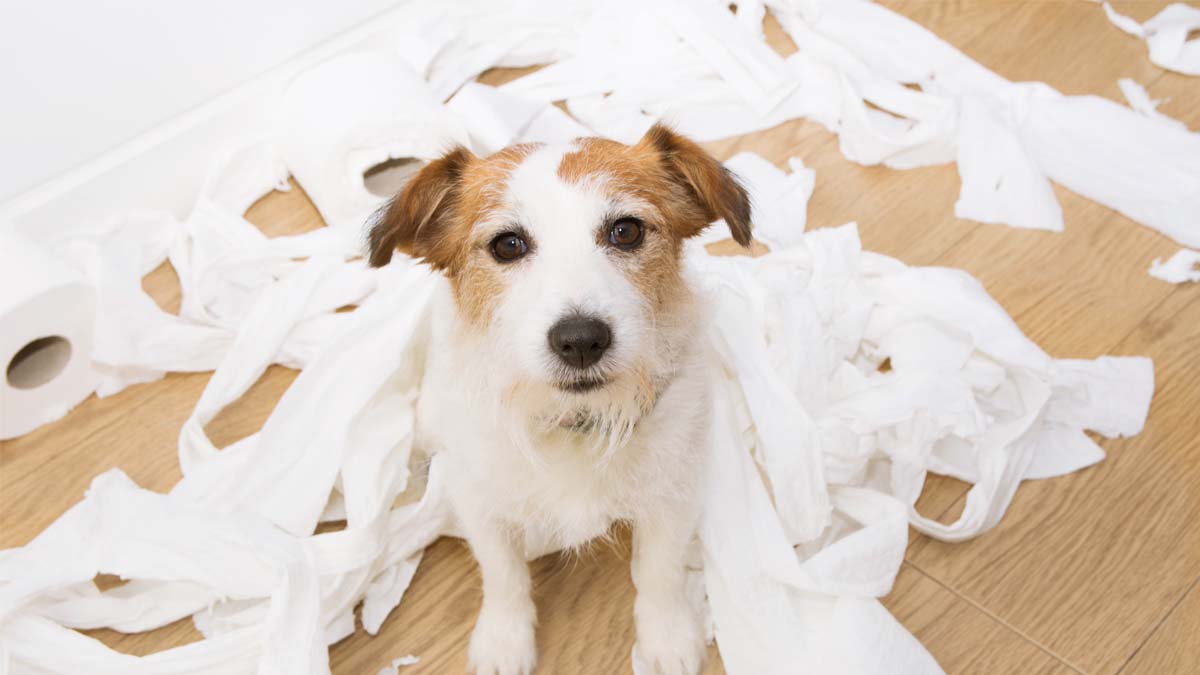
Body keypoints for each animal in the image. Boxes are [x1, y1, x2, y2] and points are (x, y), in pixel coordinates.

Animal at [364, 121, 748, 672]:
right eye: (508, 245)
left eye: (626, 231)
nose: (581, 340)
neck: (574, 421)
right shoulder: (482, 503)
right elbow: (502, 575)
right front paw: (504, 640)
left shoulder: (672, 495)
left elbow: (660, 570)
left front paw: (666, 637)